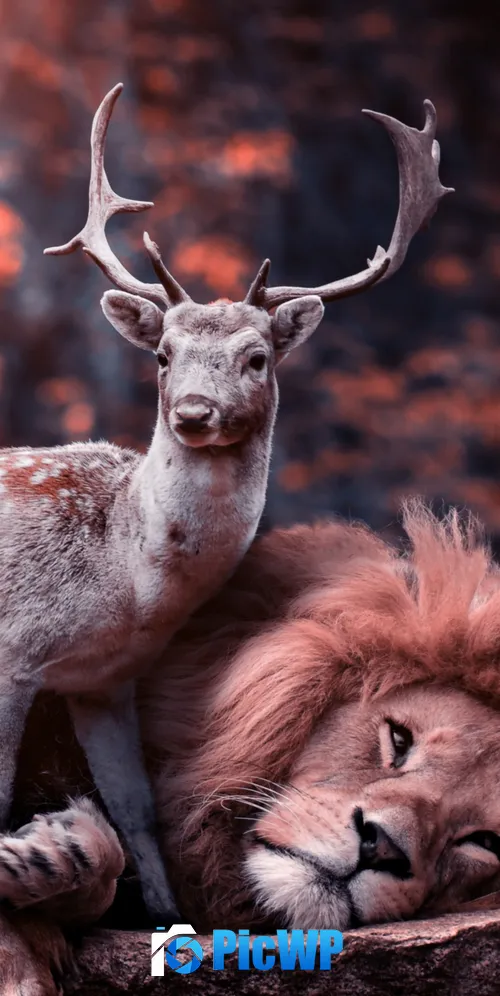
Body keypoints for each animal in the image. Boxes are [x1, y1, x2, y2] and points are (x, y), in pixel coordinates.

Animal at [0, 83, 451, 923]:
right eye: (162, 354)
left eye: (258, 356)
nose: (193, 413)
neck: (125, 584)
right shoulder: (13, 650)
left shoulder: (105, 680)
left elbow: (137, 809)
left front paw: (167, 913)